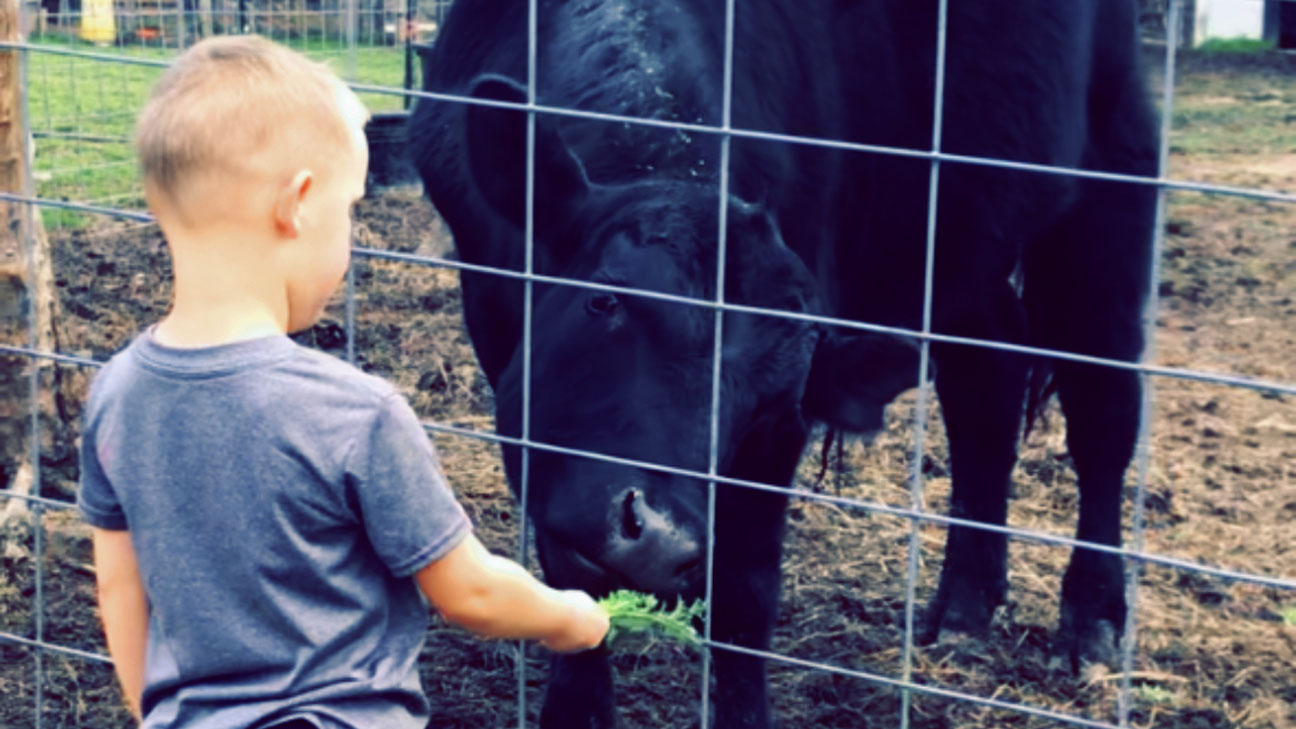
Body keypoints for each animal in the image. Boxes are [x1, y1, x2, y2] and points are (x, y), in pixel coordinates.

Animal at [412, 2, 1156, 721]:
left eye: (772, 400)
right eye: (604, 300)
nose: (659, 540)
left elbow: (745, 591)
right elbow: (570, 580)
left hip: (1113, 180)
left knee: (1103, 414)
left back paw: (1093, 623)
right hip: (963, 256)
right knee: (986, 388)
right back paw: (966, 609)